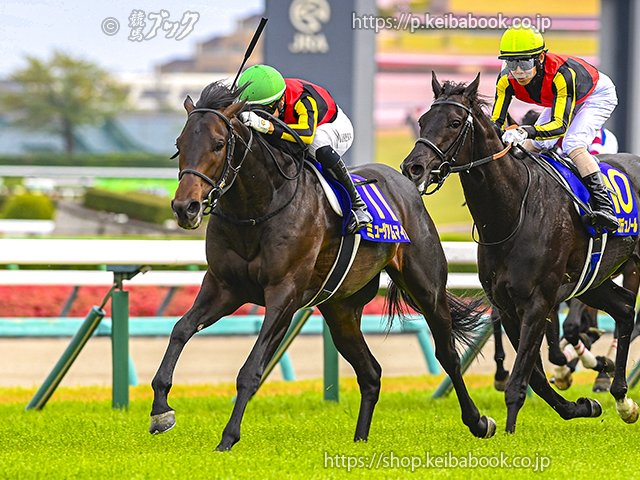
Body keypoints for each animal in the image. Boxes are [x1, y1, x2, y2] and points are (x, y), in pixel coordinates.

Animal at [148, 81, 496, 451]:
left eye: (218, 143)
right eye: (180, 144)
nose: (185, 207)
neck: (257, 208)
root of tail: (406, 182)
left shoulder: (284, 296)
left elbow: (251, 370)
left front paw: (227, 439)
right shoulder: (224, 287)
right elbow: (181, 329)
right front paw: (161, 411)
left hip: (427, 288)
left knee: (447, 355)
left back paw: (479, 421)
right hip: (340, 310)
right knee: (371, 373)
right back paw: (359, 439)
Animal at [401, 71, 640, 433]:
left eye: (455, 123)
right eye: (422, 121)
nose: (413, 167)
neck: (513, 212)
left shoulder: (538, 299)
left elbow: (524, 375)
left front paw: (510, 432)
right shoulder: (508, 303)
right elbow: (534, 376)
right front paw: (581, 405)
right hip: (593, 278)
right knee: (625, 309)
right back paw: (622, 397)